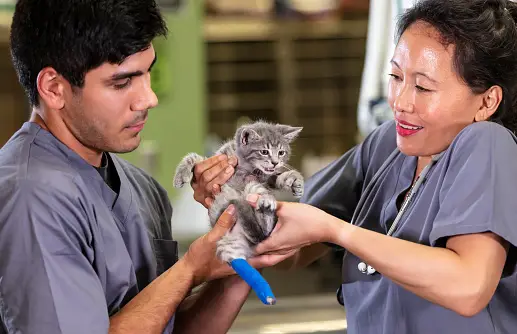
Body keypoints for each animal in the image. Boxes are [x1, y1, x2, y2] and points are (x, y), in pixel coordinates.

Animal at [173, 120, 302, 264]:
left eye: (281, 152)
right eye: (264, 151)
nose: (275, 162)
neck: (245, 164)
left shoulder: (263, 179)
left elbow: (277, 178)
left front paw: (295, 180)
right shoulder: (222, 158)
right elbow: (194, 157)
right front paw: (180, 176)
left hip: (252, 187)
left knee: (265, 232)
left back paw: (266, 206)